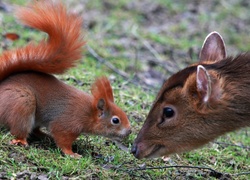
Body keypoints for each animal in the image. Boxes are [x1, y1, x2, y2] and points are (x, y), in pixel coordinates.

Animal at [0, 0, 130, 158]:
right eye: (115, 120)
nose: (129, 131)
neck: (88, 112)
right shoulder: (67, 123)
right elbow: (62, 139)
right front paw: (72, 154)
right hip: (22, 104)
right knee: (19, 128)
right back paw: (21, 140)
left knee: (35, 130)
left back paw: (44, 135)